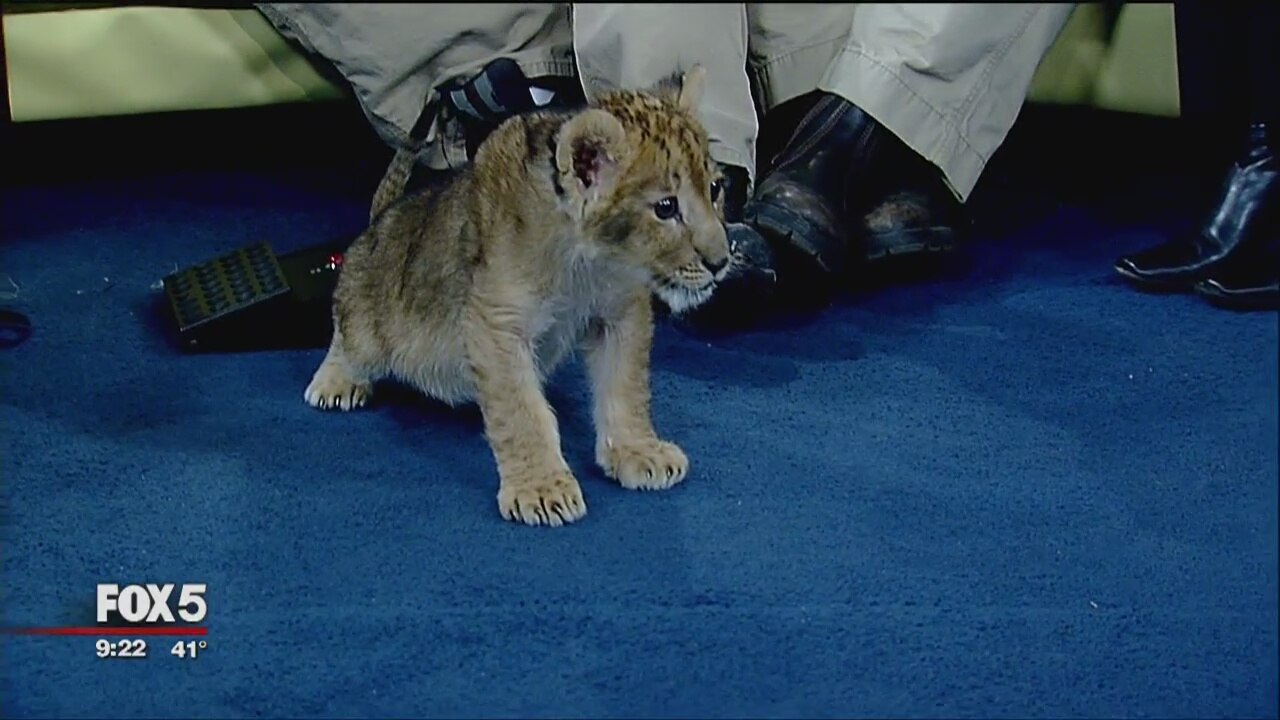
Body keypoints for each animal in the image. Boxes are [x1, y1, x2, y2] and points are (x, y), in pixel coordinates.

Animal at [303, 67, 732, 527]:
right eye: (666, 207)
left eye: (715, 189)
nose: (722, 261)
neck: (587, 261)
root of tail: (377, 222)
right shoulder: (497, 324)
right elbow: (522, 412)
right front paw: (541, 489)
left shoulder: (621, 314)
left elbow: (625, 385)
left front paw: (638, 451)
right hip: (369, 316)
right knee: (347, 331)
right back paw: (336, 381)